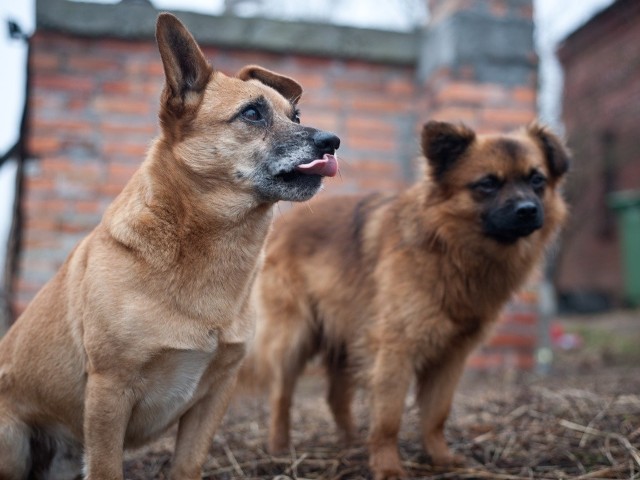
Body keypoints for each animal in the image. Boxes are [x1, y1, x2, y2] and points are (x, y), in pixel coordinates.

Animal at [0, 12, 340, 480]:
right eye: (253, 113)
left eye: (296, 113)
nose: (332, 142)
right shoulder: (109, 391)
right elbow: (106, 467)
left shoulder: (216, 394)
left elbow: (188, 464)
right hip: (12, 441)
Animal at [248, 121, 568, 480]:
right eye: (487, 183)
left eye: (537, 180)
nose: (527, 210)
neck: (448, 248)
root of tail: (284, 222)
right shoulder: (395, 351)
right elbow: (389, 418)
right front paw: (388, 466)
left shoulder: (451, 357)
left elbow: (436, 415)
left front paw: (440, 458)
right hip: (293, 339)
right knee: (281, 396)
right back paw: (279, 447)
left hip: (348, 338)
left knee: (336, 397)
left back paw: (352, 445)